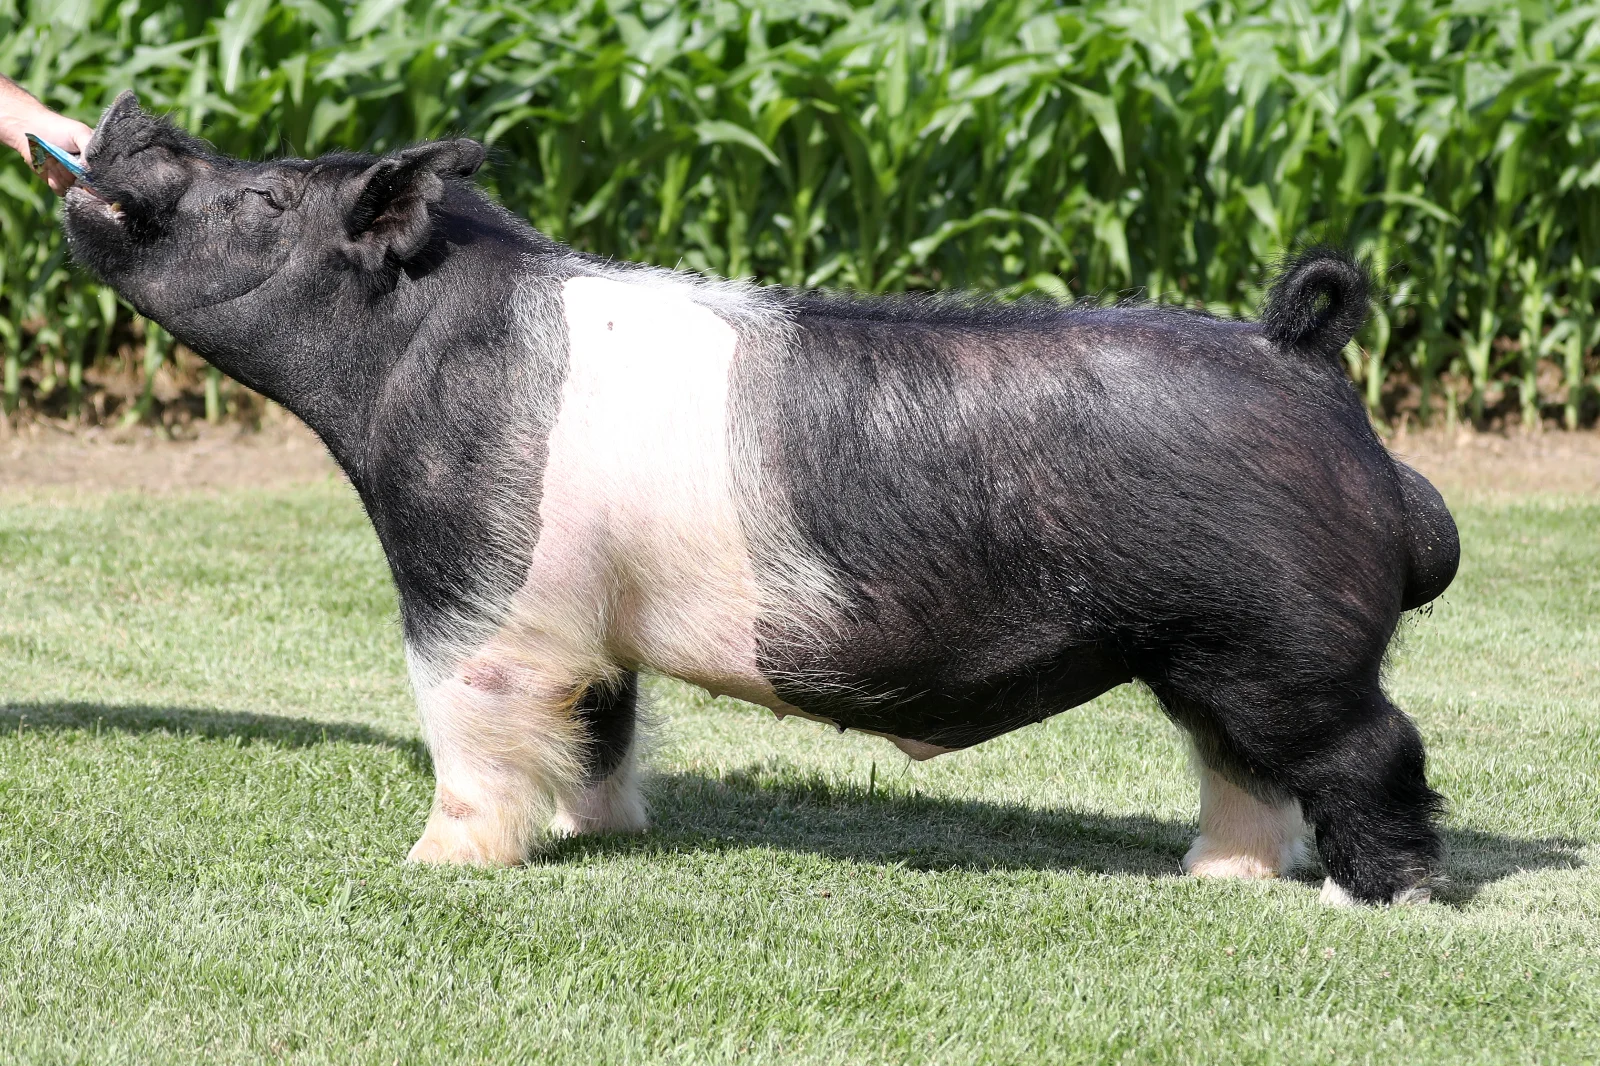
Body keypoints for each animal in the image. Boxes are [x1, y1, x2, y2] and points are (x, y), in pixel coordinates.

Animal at [63, 92, 1459, 905]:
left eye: (265, 196)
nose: (131, 106)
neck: (411, 360)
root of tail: (1302, 358)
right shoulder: (586, 616)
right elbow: (601, 721)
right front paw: (597, 828)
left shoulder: (476, 586)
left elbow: (465, 720)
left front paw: (434, 863)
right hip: (1208, 653)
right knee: (1241, 766)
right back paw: (1214, 879)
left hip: (1284, 641)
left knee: (1372, 750)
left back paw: (1366, 899)